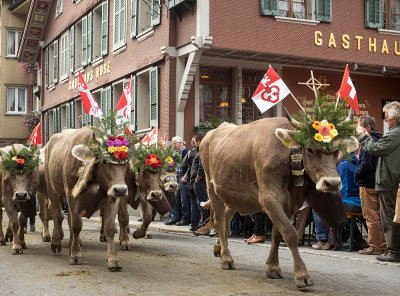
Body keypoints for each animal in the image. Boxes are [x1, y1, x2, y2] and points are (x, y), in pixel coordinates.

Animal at [44, 127, 131, 270]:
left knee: (68, 219)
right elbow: (76, 224)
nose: (121, 190)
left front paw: (113, 259)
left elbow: (109, 227)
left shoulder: (111, 196)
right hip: (52, 189)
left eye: (126, 163)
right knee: (58, 216)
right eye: (104, 161)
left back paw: (70, 244)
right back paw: (56, 242)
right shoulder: (71, 193)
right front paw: (75, 255)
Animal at [199, 112, 356, 288]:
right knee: (220, 222)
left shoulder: (291, 204)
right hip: (212, 189)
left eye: (337, 152)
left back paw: (219, 248)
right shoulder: (269, 199)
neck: (286, 156)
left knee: (226, 220)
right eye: (309, 149)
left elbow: (277, 234)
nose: (333, 183)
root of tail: (213, 132)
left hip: (236, 195)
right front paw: (301, 274)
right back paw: (226, 258)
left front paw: (273, 267)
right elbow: (290, 233)